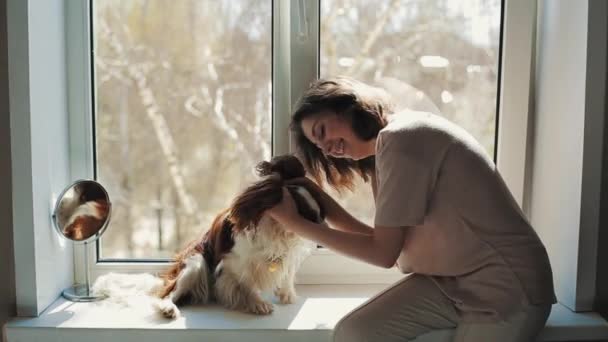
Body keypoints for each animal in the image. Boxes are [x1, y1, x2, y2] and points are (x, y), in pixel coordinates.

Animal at [158, 155, 324, 318]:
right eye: (303, 212)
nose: (321, 220)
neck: (277, 230)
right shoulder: (236, 261)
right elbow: (247, 282)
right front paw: (258, 303)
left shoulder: (288, 254)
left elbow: (288, 272)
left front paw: (287, 294)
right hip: (195, 264)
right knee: (167, 293)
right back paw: (168, 308)